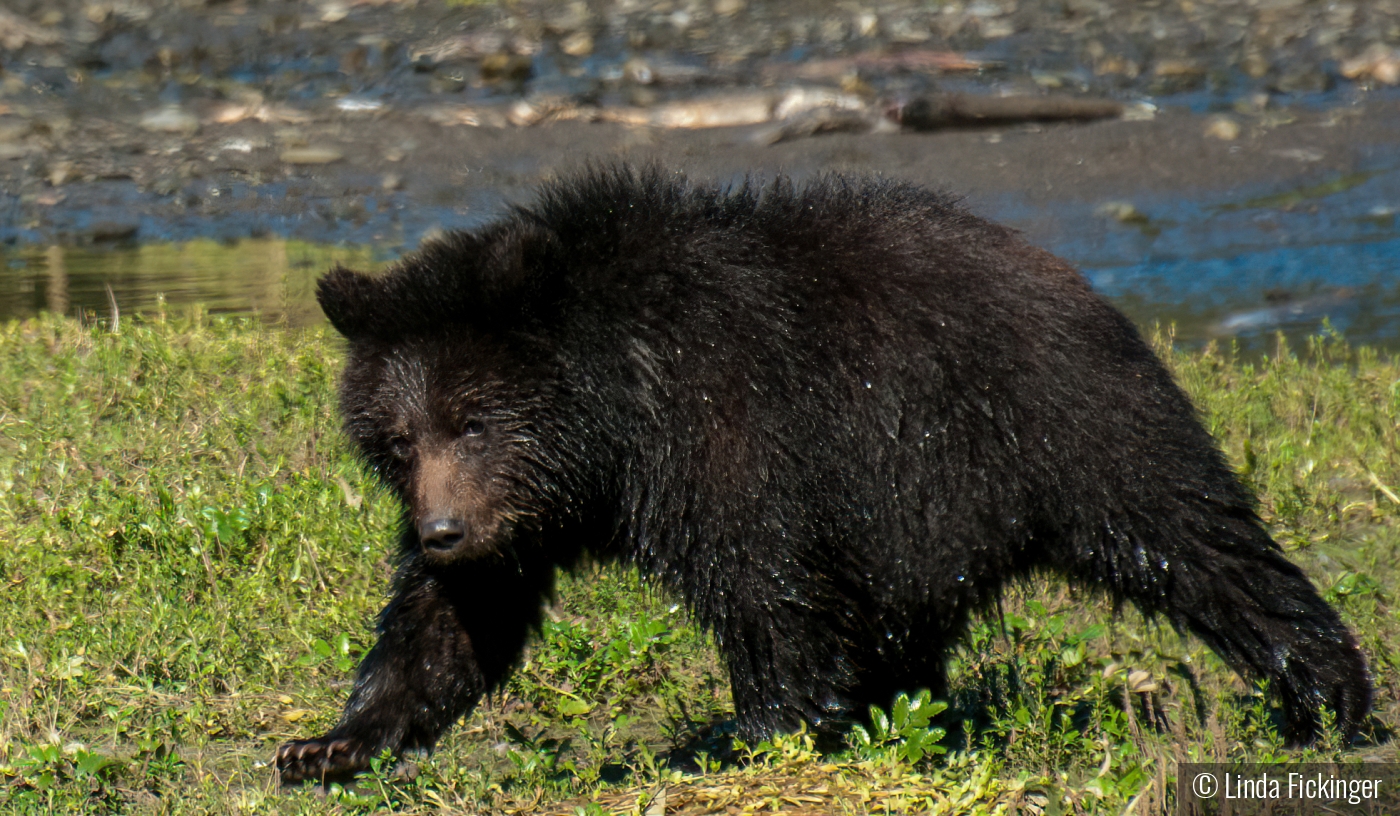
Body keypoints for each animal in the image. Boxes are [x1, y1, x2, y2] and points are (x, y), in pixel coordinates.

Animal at [278, 165, 1372, 783]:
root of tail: (1073, 278)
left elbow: (767, 588)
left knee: (1197, 542)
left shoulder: (732, 431)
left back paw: (1323, 696)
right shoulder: (526, 519)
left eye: (476, 419)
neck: (615, 425)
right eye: (397, 438)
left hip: (1061, 427)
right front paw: (330, 742)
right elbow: (451, 624)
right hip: (926, 510)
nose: (441, 532)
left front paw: (739, 732)